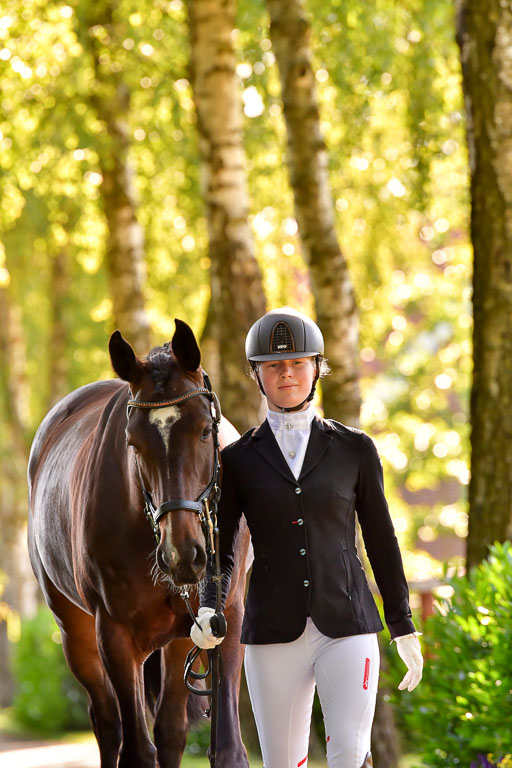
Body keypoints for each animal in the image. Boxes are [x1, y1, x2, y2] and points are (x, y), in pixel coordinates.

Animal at [27, 319, 250, 768]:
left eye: (205, 430)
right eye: (133, 443)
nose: (183, 555)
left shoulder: (224, 619)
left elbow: (223, 748)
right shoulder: (113, 632)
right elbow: (135, 750)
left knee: (169, 730)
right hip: (75, 633)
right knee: (108, 724)